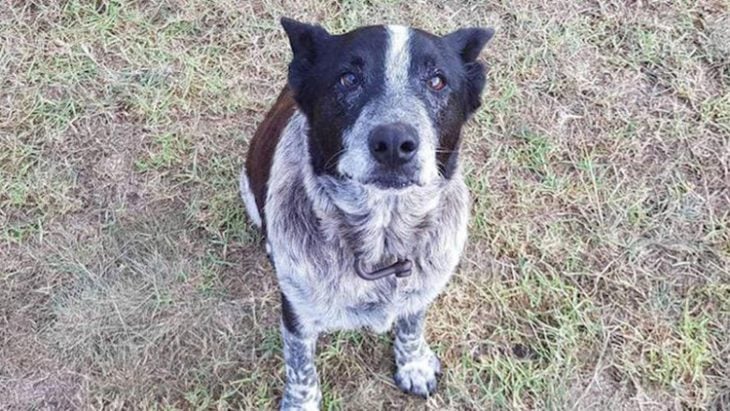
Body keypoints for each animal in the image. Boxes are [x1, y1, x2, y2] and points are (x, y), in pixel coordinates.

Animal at [242, 17, 492, 410]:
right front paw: (301, 402)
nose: (393, 143)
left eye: (437, 80)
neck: (381, 239)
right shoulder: (297, 310)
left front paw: (414, 364)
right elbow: (300, 365)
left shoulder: (421, 289)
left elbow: (411, 325)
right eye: (348, 78)